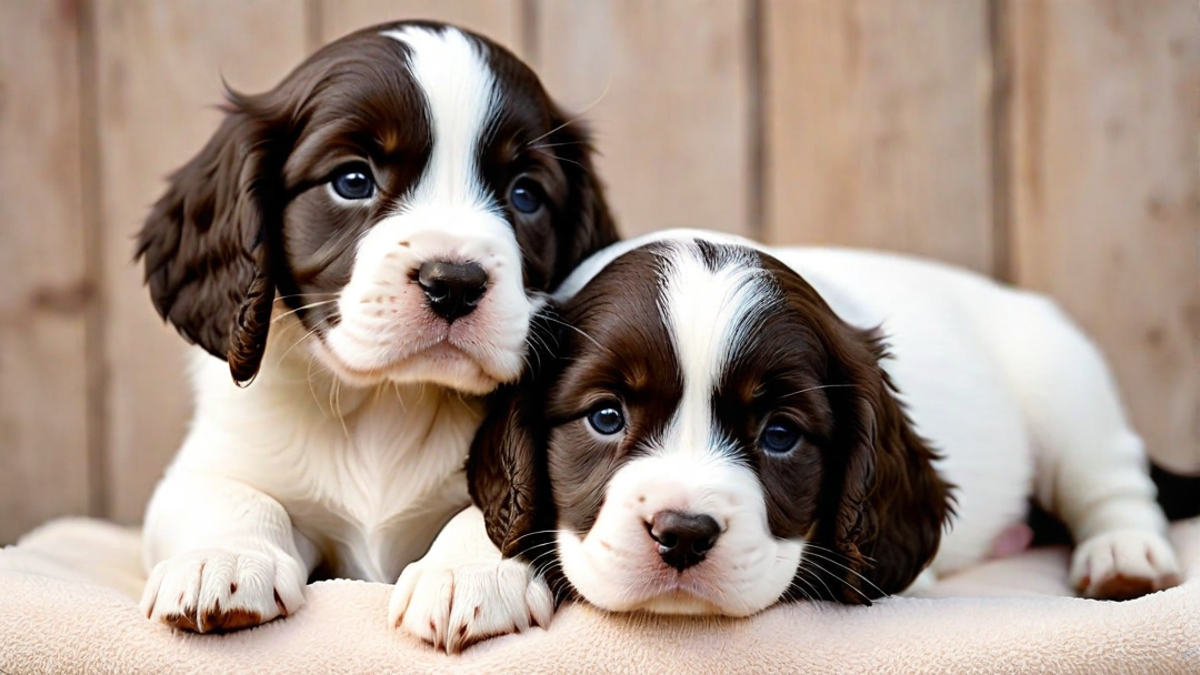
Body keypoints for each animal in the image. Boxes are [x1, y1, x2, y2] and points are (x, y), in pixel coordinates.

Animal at [136, 19, 614, 629]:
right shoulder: (210, 460)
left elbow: (501, 506)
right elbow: (228, 494)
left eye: (525, 193)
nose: (454, 282)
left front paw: (465, 573)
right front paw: (220, 561)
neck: (388, 402)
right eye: (352, 180)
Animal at [460, 228, 1180, 624]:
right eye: (606, 417)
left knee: (1113, 482)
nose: (684, 533)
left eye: (780, 434)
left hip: (1066, 387)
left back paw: (1125, 556)